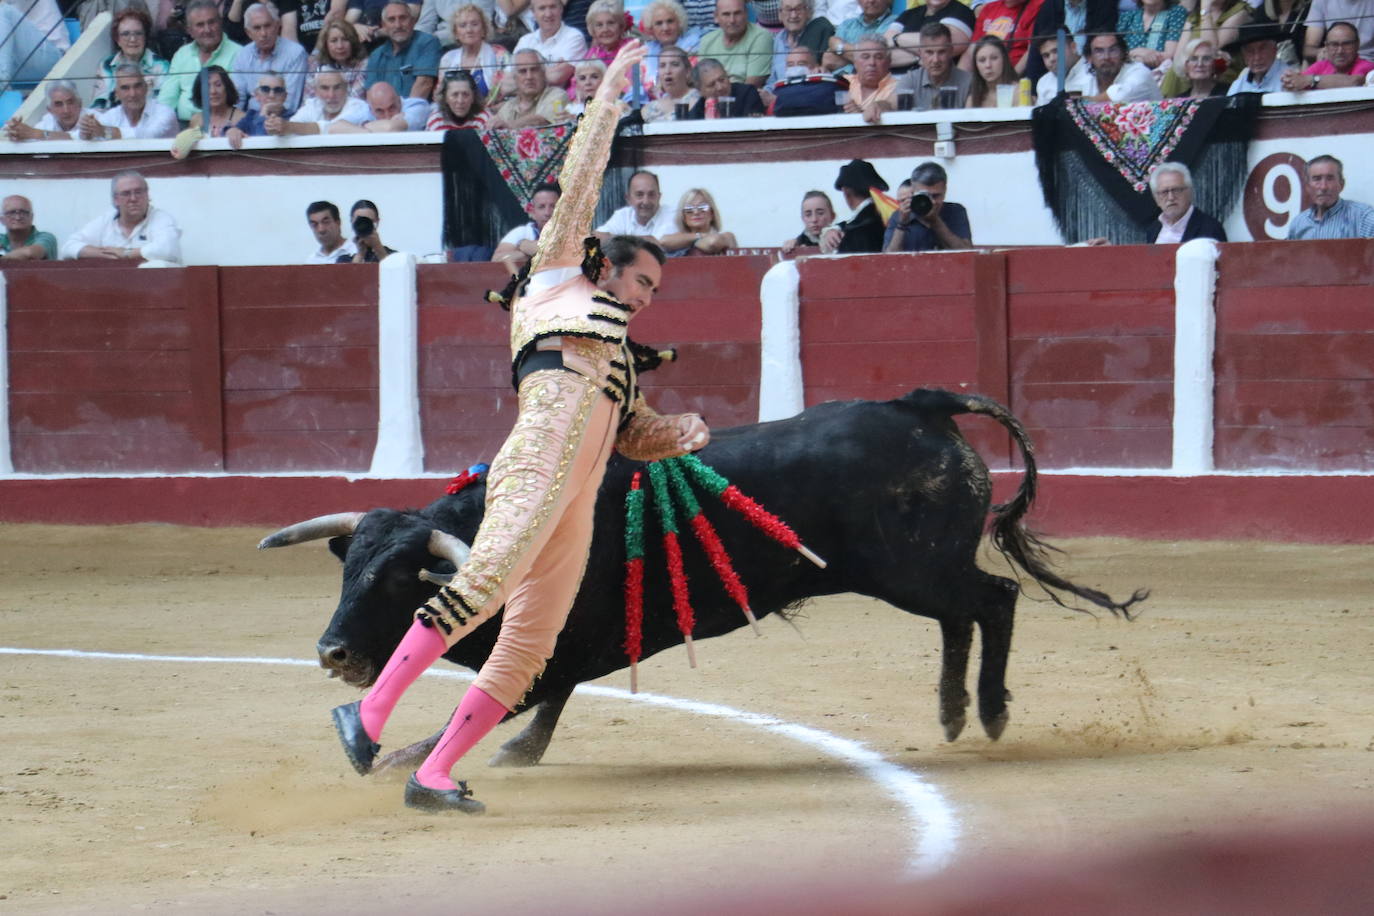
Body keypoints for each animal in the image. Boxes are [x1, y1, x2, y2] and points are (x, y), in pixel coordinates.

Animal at [262, 390, 1143, 769]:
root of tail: (920, 406)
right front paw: (515, 750)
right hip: (924, 572)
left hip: (915, 569)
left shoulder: (551, 643)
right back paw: (957, 714)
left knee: (995, 600)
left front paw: (411, 756)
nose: (334, 651)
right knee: (967, 614)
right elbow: (548, 697)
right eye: (350, 571)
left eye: (402, 582)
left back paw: (987, 713)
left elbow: (511, 699)